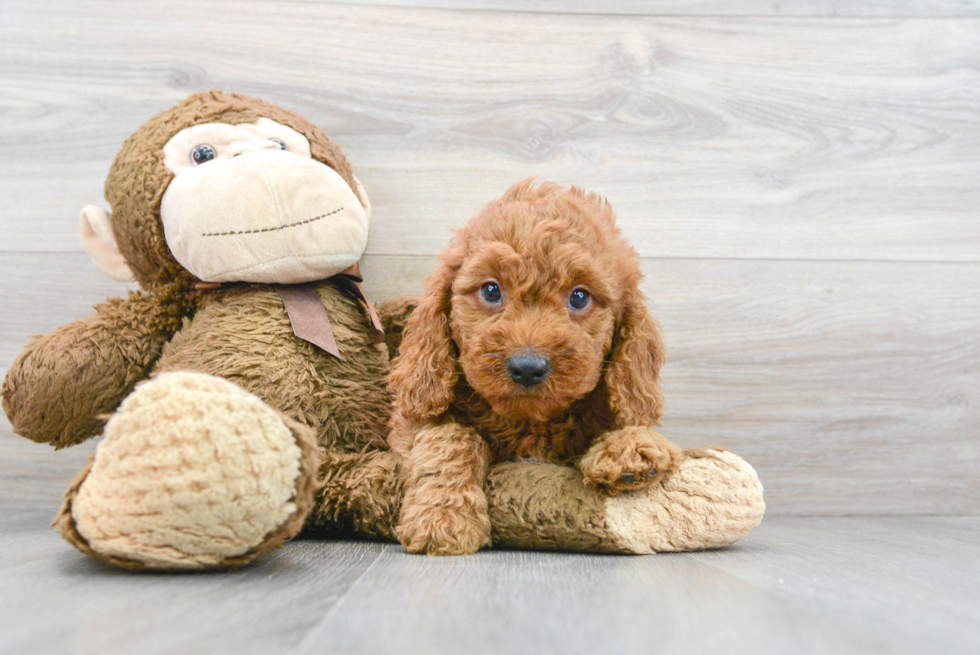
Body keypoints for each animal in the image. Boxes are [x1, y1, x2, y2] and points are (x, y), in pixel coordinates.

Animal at [388, 178, 680, 552]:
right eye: (491, 290)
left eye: (579, 297)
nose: (527, 367)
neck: (529, 421)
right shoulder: (414, 419)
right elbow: (450, 438)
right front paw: (442, 517)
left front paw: (629, 448)